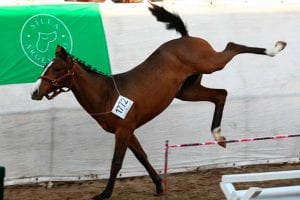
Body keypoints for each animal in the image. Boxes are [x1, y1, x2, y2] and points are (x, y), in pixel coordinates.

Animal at [30, 3, 286, 200]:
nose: (35, 92)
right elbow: (142, 156)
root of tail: (185, 37)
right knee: (220, 94)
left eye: (57, 68)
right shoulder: (129, 130)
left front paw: (104, 193)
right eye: (45, 67)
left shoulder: (123, 130)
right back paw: (218, 135)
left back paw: (275, 48)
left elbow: (116, 162)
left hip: (211, 64)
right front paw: (159, 185)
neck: (106, 94)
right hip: (187, 91)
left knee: (232, 47)